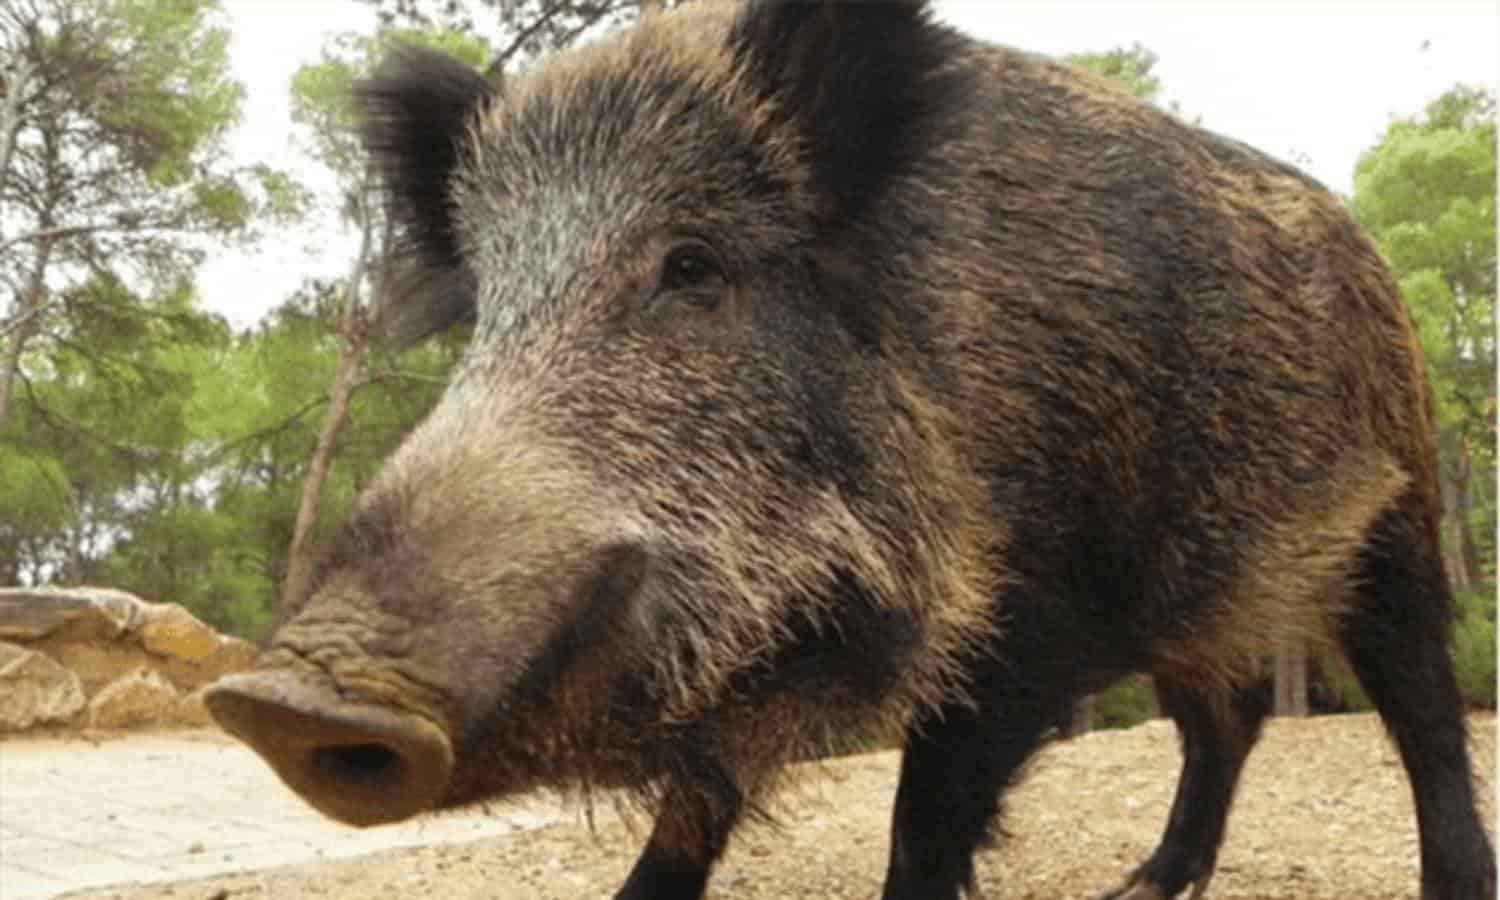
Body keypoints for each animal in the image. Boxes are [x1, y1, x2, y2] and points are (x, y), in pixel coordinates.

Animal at [205, 2, 1496, 898]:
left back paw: (1446, 878)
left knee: (1419, 704)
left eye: (694, 266)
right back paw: (1142, 885)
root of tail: (1364, 248)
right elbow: (688, 819)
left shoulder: (1025, 625)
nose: (287, 693)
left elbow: (920, 830)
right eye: (490, 307)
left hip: (1394, 515)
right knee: (1225, 717)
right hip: (1195, 586)